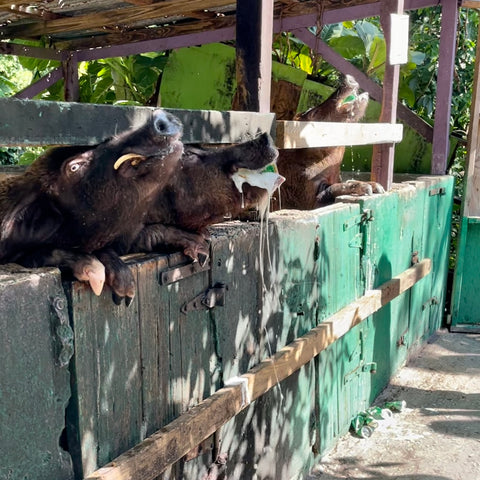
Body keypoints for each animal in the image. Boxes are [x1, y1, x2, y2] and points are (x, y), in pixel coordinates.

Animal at [274, 75, 382, 210]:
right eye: (313, 113)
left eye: (311, 109)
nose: (348, 77)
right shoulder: (300, 183)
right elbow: (325, 192)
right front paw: (367, 188)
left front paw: (377, 186)